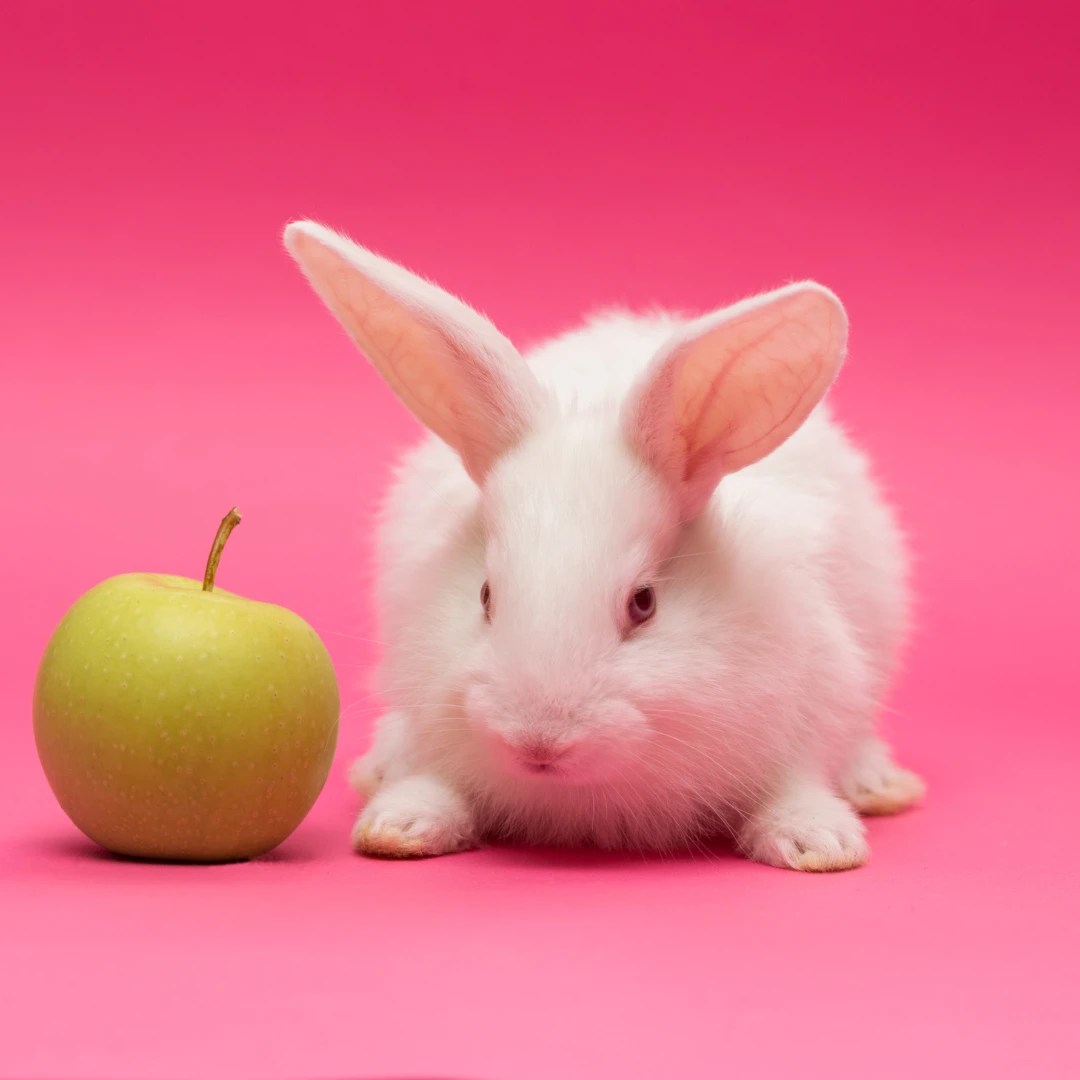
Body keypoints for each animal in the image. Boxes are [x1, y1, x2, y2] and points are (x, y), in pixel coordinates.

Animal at [283, 219, 925, 871]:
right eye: (485, 596)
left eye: (644, 603)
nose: (538, 741)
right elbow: (435, 782)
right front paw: (400, 824)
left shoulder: (815, 694)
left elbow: (795, 784)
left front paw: (817, 842)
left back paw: (880, 785)